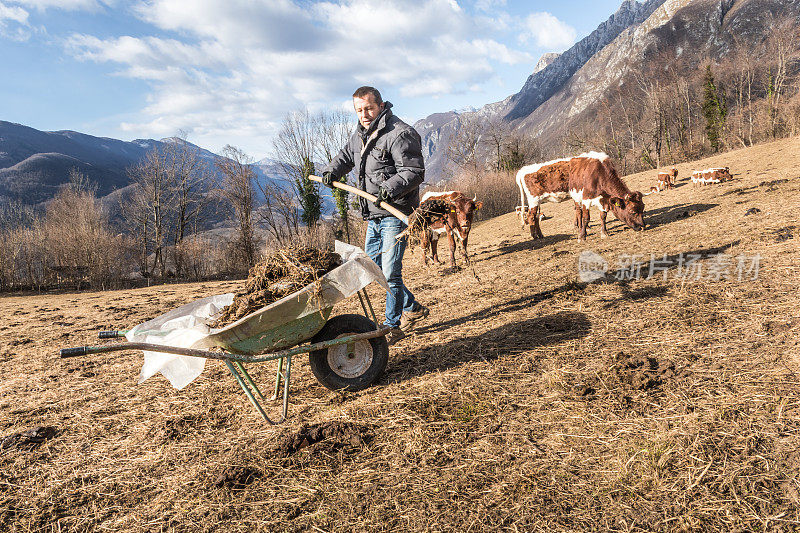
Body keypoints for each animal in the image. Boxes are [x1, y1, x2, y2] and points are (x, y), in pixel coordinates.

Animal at [516, 151, 648, 240]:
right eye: (632, 211)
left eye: (643, 209)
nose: (643, 227)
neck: (599, 172)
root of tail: (522, 170)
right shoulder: (585, 198)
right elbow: (585, 218)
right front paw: (582, 236)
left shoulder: (602, 198)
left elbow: (603, 216)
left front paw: (604, 233)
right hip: (533, 200)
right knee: (531, 217)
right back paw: (534, 236)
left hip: (537, 202)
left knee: (536, 217)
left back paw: (540, 235)